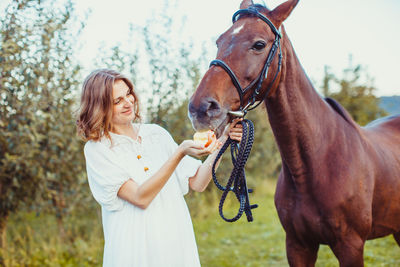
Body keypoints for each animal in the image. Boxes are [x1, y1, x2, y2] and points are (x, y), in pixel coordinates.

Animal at [188, 1, 400, 266]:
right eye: (219, 41)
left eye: (259, 44)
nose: (200, 108)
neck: (315, 165)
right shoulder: (298, 246)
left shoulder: (351, 246)